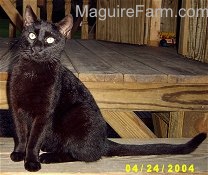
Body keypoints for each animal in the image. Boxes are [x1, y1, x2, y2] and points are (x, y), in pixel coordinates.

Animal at [7, 5, 206, 172]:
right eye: (32, 36)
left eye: (49, 40)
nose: (37, 48)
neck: (32, 71)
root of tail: (103, 140)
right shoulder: (16, 109)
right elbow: (21, 133)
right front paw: (19, 152)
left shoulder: (43, 114)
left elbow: (34, 139)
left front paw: (31, 161)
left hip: (79, 115)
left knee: (85, 154)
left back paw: (49, 156)